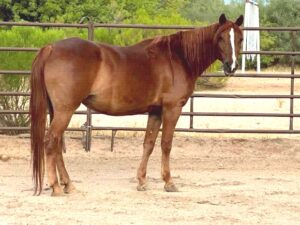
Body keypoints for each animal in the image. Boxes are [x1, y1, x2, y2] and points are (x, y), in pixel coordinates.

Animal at [30, 14, 243, 195]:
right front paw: (169, 182)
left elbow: (148, 144)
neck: (178, 57)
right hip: (65, 110)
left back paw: (68, 184)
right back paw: (56, 187)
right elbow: (166, 144)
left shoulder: (155, 111)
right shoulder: (172, 108)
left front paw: (142, 181)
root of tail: (51, 48)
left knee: (57, 144)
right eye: (221, 38)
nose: (231, 66)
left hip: (57, 110)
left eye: (240, 39)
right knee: (51, 141)